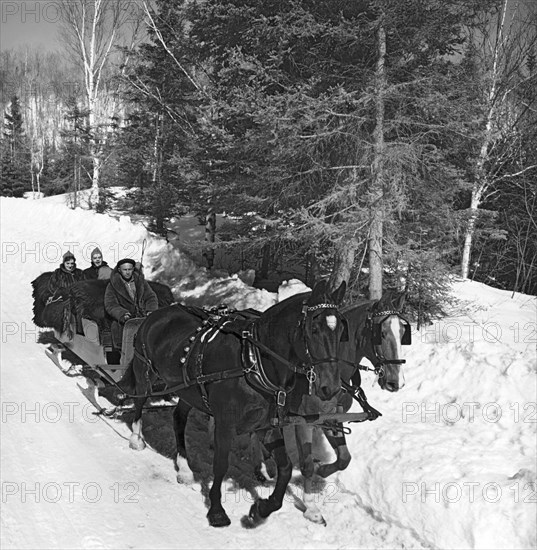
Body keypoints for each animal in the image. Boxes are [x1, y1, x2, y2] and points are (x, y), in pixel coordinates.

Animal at [116, 282, 348, 528]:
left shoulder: (268, 425)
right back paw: (136, 438)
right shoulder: (225, 423)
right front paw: (217, 511)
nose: (331, 388)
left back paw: (185, 468)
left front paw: (261, 509)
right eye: (313, 328)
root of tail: (157, 313)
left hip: (188, 391)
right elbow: (221, 464)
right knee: (139, 402)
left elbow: (285, 469)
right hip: (145, 371)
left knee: (178, 418)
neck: (254, 361)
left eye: (341, 330)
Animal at [258, 288, 412, 528]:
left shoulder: (333, 418)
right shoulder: (305, 421)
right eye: (381, 332)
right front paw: (311, 508)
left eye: (403, 331)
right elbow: (306, 464)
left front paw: (322, 470)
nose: (396, 381)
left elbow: (343, 459)